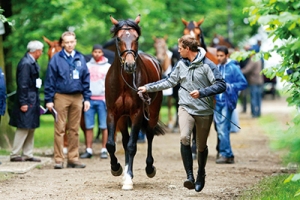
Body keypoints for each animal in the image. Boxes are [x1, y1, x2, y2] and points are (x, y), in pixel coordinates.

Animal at [105, 14, 165, 190]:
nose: (130, 65)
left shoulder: (137, 113)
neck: (125, 83)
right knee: (125, 141)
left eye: (136, 37)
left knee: (150, 135)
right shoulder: (113, 113)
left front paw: (129, 179)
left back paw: (149, 168)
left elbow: (132, 145)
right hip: (124, 117)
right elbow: (111, 144)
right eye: (118, 38)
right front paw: (117, 168)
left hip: (153, 111)